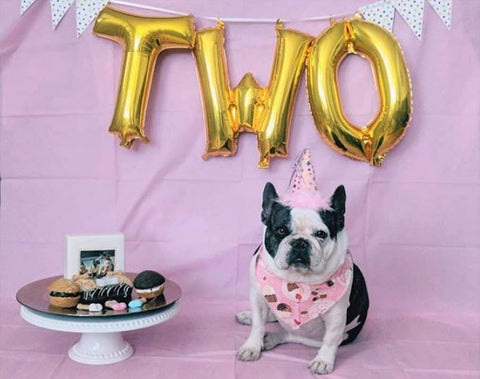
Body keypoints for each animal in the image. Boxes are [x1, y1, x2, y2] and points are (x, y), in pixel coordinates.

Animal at [236, 183, 368, 376]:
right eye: (281, 230)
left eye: (321, 234)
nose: (300, 242)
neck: (297, 279)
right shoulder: (258, 297)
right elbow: (258, 324)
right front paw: (252, 346)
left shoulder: (336, 314)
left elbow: (330, 339)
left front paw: (323, 361)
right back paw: (249, 317)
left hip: (333, 336)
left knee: (293, 335)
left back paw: (271, 339)